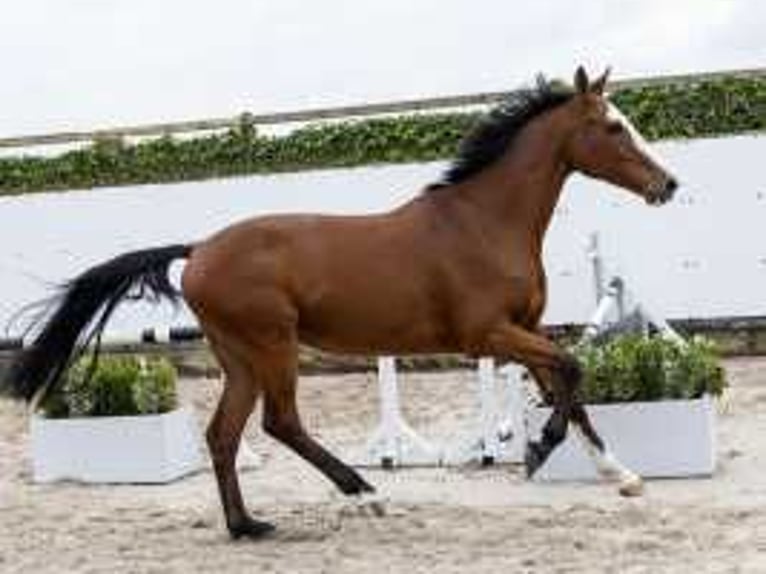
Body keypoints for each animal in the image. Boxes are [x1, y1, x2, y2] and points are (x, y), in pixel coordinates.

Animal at [4, 67, 680, 540]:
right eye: (614, 126)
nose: (667, 184)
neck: (484, 222)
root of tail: (198, 251)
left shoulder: (524, 327)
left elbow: (569, 383)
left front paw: (620, 476)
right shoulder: (488, 334)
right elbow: (572, 368)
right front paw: (541, 448)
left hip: (240, 358)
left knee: (223, 435)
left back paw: (248, 527)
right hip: (273, 345)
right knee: (280, 423)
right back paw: (366, 494)